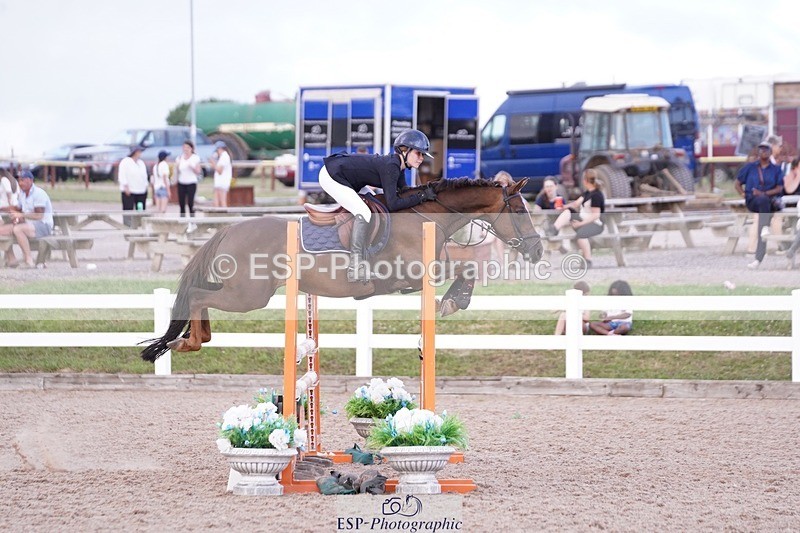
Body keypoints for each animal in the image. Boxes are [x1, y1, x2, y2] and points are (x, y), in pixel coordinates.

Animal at [141, 175, 543, 361]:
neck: (426, 216)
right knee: (197, 295)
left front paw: (452, 301)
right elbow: (466, 267)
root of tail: (227, 230)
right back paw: (191, 341)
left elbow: (467, 267)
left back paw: (194, 338)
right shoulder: (412, 274)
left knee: (200, 296)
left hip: (246, 292)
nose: (537, 250)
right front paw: (453, 302)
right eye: (520, 210)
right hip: (249, 295)